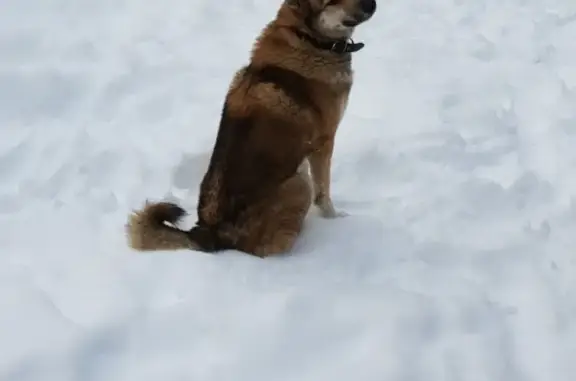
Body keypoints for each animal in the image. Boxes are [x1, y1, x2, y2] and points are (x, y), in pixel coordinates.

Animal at [125, 0, 378, 256]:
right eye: (332, 1)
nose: (373, 4)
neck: (306, 38)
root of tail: (207, 234)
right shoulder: (324, 142)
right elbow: (323, 192)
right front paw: (335, 218)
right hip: (298, 185)